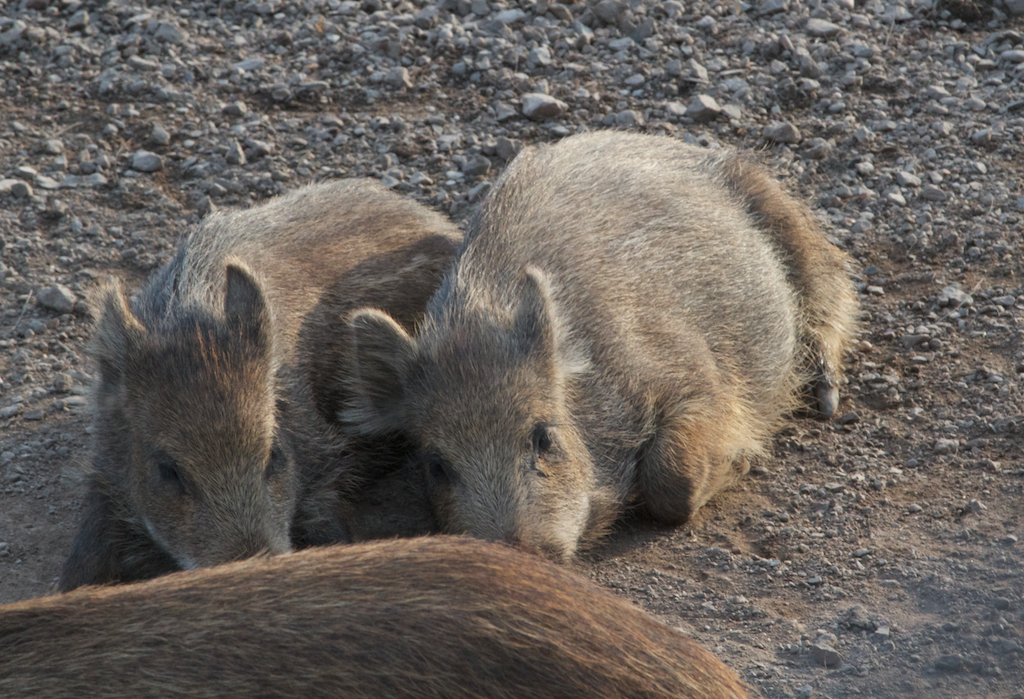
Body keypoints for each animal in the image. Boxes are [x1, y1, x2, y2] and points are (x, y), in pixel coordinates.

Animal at [347, 132, 859, 560]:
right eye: (436, 464)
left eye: (544, 437)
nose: (516, 556)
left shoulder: (699, 378)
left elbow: (672, 478)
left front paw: (745, 462)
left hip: (786, 216)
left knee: (832, 284)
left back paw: (827, 399)